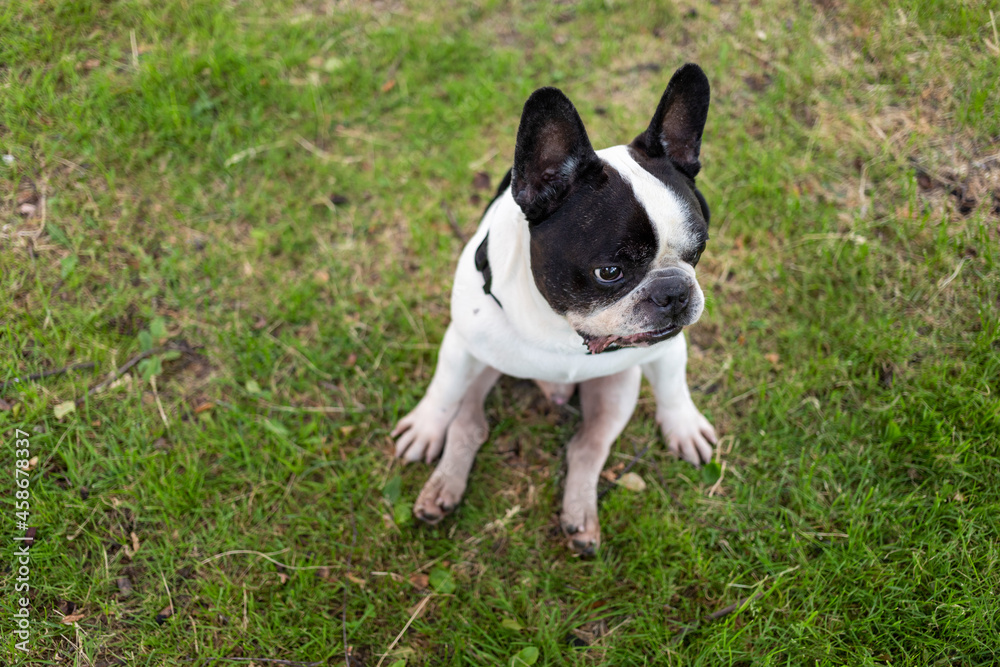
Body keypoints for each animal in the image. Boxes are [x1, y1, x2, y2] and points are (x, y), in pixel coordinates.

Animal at [392, 64, 720, 552]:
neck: (561, 330)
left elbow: (673, 387)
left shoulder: (665, 348)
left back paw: (581, 518)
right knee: (469, 425)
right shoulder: (462, 345)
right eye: (610, 271)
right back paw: (442, 488)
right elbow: (443, 390)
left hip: (618, 388)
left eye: (698, 251)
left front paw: (683, 426)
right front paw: (425, 426)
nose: (674, 292)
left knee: (586, 448)